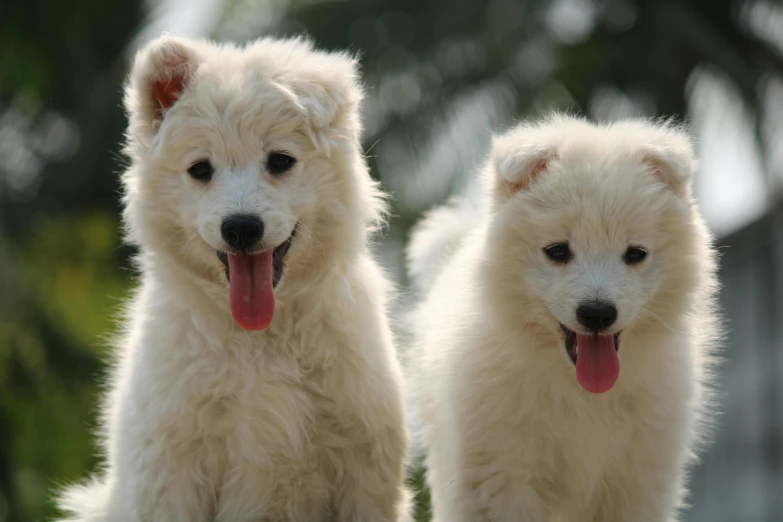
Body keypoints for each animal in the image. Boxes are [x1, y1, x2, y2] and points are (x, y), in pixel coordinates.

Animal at [56, 35, 410, 520]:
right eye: (200, 169)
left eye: (280, 161)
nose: (241, 229)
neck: (259, 341)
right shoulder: (170, 474)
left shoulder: (364, 469)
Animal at [410, 115, 724, 520]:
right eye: (557, 251)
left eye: (635, 253)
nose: (597, 313)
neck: (578, 390)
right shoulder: (502, 478)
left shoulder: (637, 480)